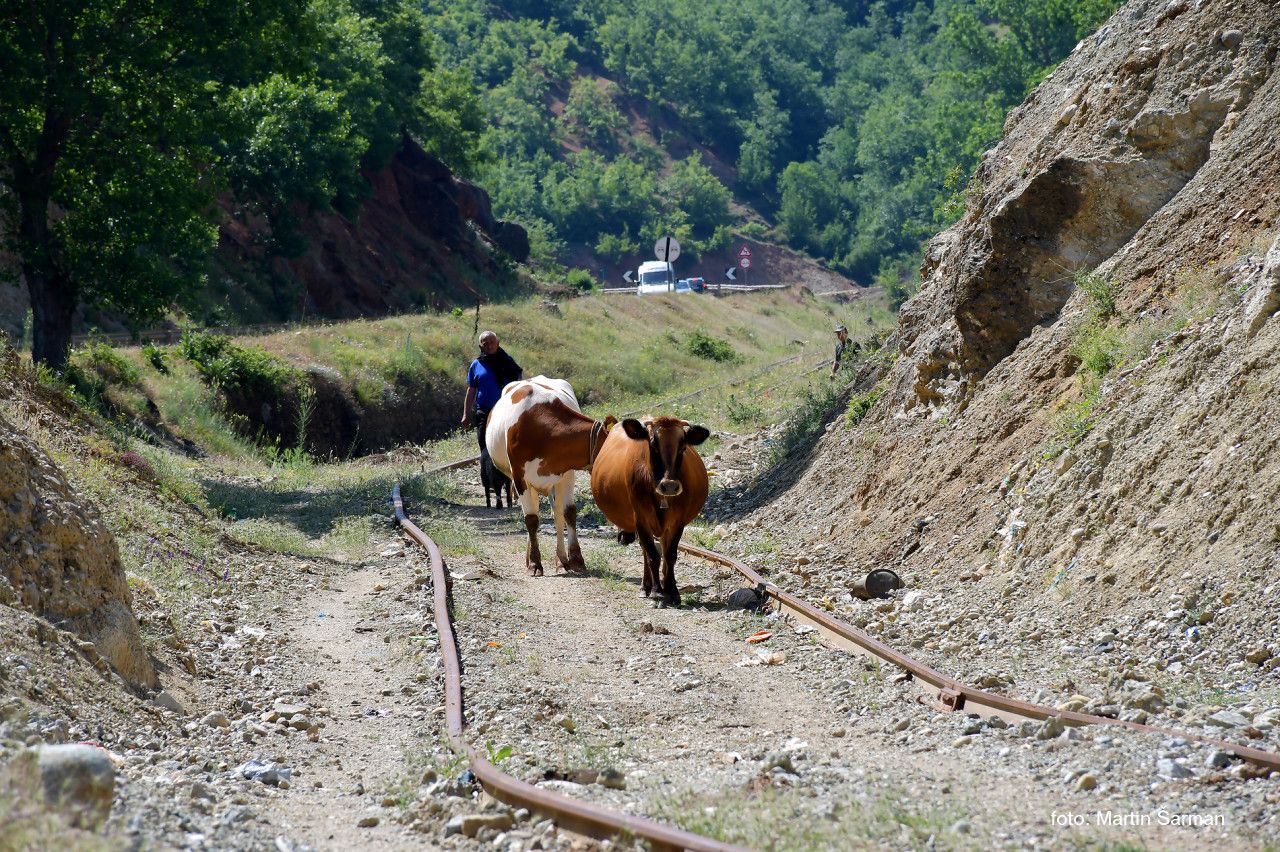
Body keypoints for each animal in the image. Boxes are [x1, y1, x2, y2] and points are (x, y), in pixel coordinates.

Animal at [481, 376, 616, 573]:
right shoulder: (520, 478)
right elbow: (531, 519)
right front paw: (535, 563)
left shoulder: (566, 473)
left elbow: (568, 512)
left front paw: (576, 559)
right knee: (533, 512)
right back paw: (531, 558)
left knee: (556, 513)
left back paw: (561, 559)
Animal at [588, 411, 711, 603]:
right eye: (653, 444)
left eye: (683, 445)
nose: (669, 486)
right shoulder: (641, 518)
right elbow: (653, 555)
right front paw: (656, 592)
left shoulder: (677, 521)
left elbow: (670, 555)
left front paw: (672, 591)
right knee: (646, 550)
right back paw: (646, 586)